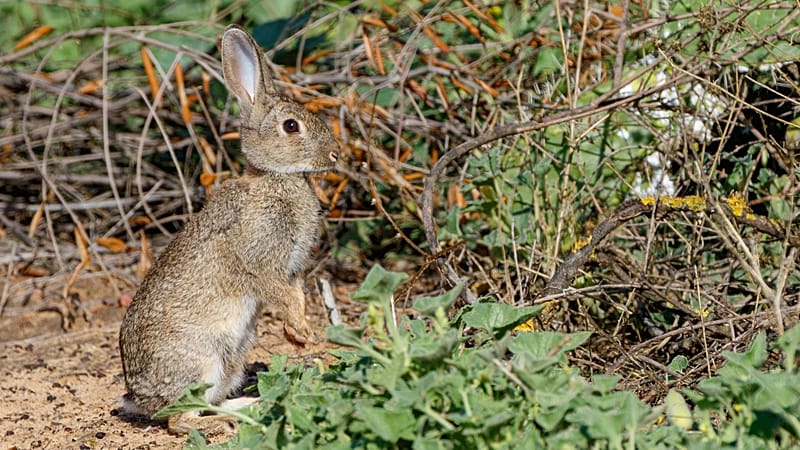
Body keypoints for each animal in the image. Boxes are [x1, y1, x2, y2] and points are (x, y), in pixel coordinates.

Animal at [118, 24, 339, 435]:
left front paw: (298, 335)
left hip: (233, 358)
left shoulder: (292, 270)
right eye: (291, 126)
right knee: (180, 420)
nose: (335, 155)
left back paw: (253, 405)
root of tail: (137, 397)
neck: (275, 177)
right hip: (202, 361)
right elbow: (280, 294)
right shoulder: (259, 261)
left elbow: (297, 294)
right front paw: (302, 331)